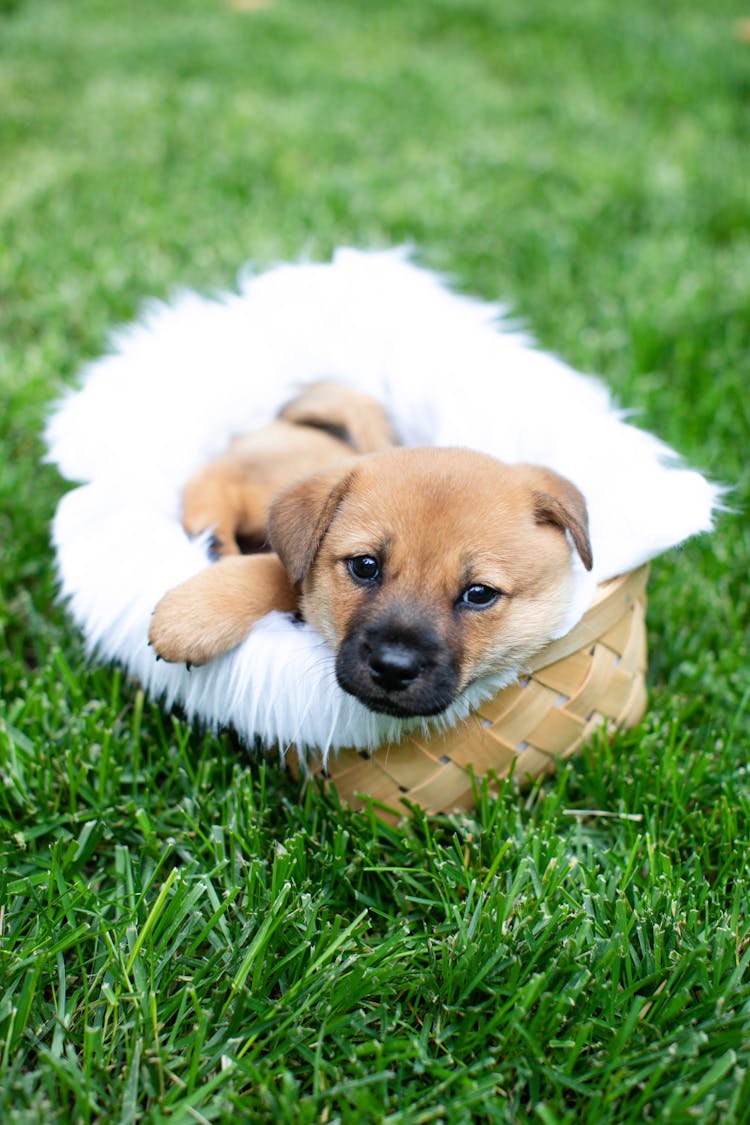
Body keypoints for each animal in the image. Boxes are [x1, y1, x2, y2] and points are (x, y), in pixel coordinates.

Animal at [149, 387, 593, 720]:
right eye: (365, 566)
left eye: (479, 593)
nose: (394, 668)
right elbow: (272, 570)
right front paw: (190, 616)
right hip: (261, 485)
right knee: (213, 480)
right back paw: (213, 540)